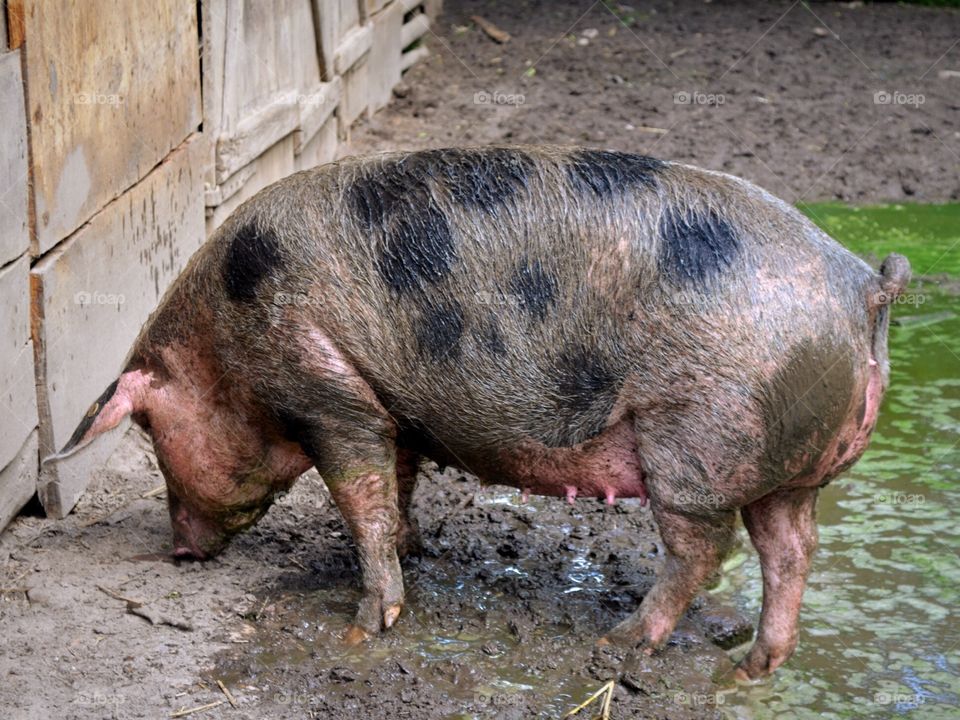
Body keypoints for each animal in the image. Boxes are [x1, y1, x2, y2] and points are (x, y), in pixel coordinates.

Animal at [56, 146, 910, 679]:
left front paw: (365, 624)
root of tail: (862, 285)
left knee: (704, 548)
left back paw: (618, 647)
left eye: (150, 431)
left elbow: (360, 494)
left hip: (697, 438)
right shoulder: (389, 406)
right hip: (791, 467)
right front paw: (410, 552)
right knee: (792, 549)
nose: (178, 553)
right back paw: (751, 668)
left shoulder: (326, 388)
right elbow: (395, 485)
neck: (223, 338)